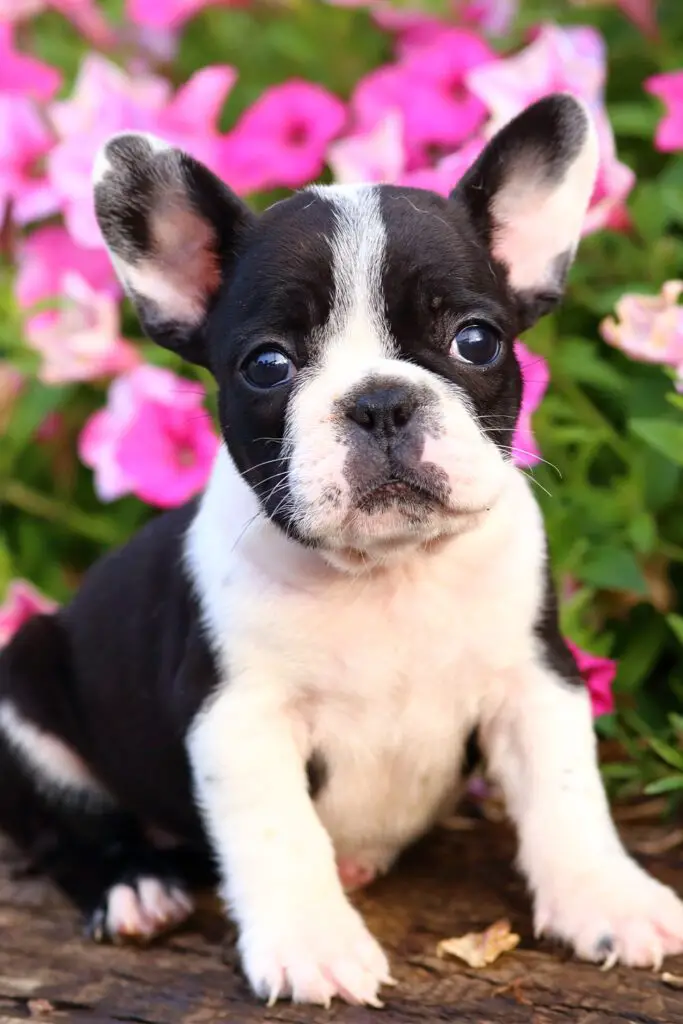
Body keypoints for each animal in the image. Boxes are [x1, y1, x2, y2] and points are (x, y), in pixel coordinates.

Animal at [1, 96, 683, 1007]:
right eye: (267, 364)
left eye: (475, 341)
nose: (381, 400)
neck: (388, 575)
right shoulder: (238, 716)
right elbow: (278, 831)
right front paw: (311, 942)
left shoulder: (535, 680)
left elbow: (566, 796)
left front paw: (608, 899)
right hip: (25, 687)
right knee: (65, 827)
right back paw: (133, 887)